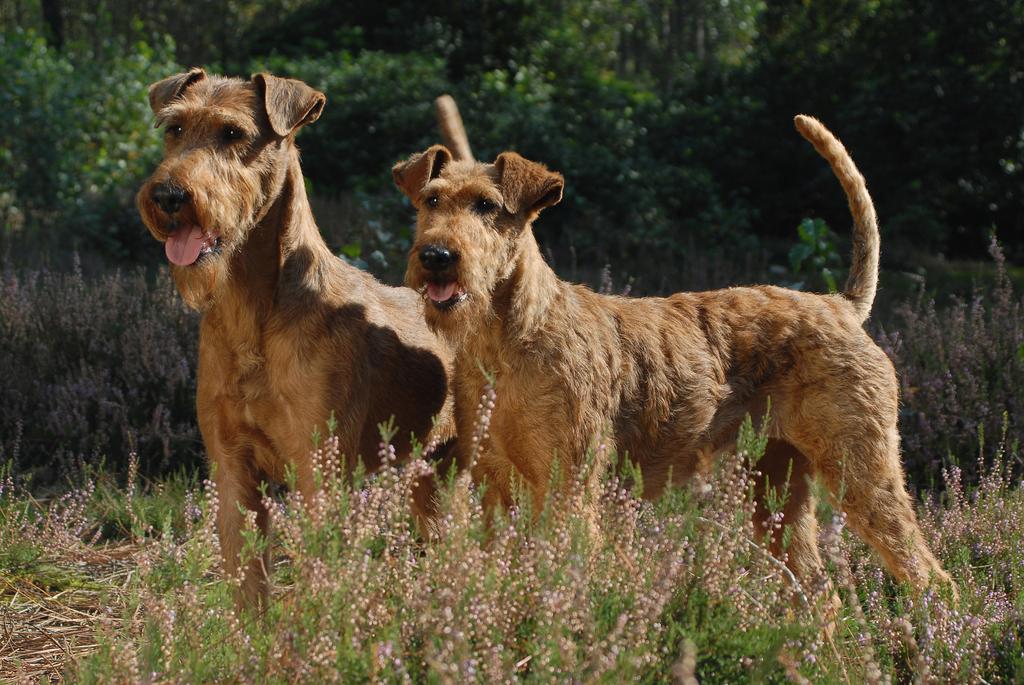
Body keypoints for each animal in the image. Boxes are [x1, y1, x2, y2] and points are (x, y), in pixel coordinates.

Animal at [136, 66, 456, 606]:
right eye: (174, 128)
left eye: (233, 133)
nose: (168, 197)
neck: (252, 315)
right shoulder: (234, 470)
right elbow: (250, 591)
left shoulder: (317, 474)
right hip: (424, 478)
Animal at [395, 117, 954, 597]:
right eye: (431, 198)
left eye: (487, 205)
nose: (437, 256)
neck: (506, 342)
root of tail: (841, 305)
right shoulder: (493, 482)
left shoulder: (569, 484)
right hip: (777, 488)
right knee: (821, 595)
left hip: (861, 470)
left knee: (930, 578)